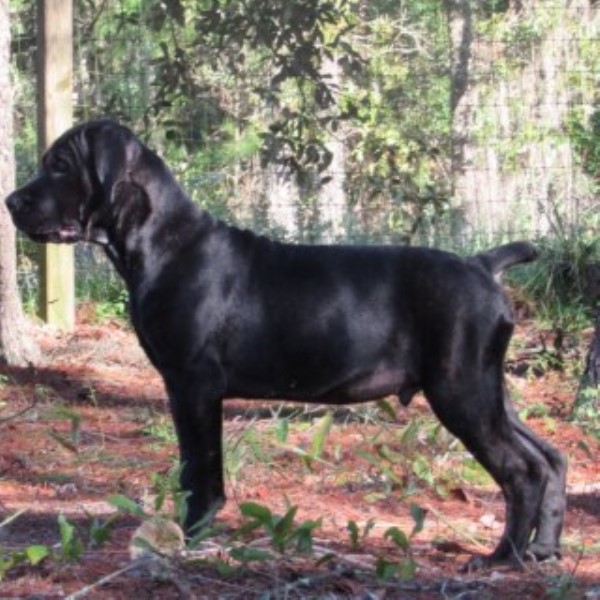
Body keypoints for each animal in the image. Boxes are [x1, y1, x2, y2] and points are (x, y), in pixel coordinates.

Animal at [5, 119, 568, 564]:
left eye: (60, 165)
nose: (10, 200)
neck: (160, 241)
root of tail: (482, 264)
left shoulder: (193, 385)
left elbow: (200, 469)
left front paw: (190, 536)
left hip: (461, 390)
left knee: (522, 470)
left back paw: (504, 557)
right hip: (489, 390)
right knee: (550, 457)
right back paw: (544, 548)